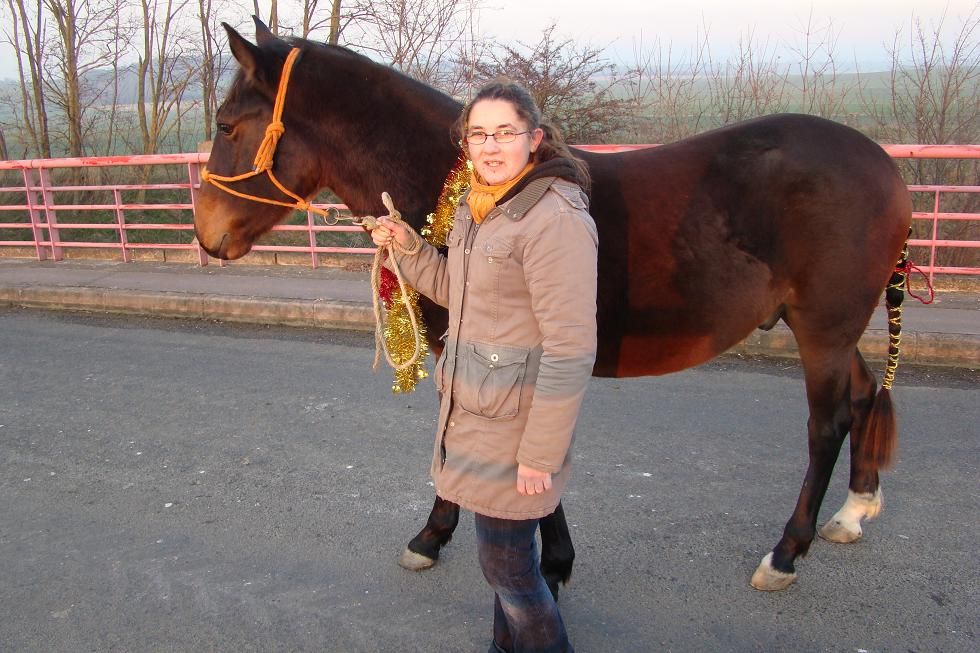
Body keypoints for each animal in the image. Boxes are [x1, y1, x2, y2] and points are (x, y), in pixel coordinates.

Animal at [193, 19, 912, 592]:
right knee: (863, 394)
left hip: (822, 329)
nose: (205, 232)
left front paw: (518, 552)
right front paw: (453, 536)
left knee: (826, 424)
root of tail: (885, 166)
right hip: (829, 330)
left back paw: (786, 552)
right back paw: (853, 512)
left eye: (228, 125)